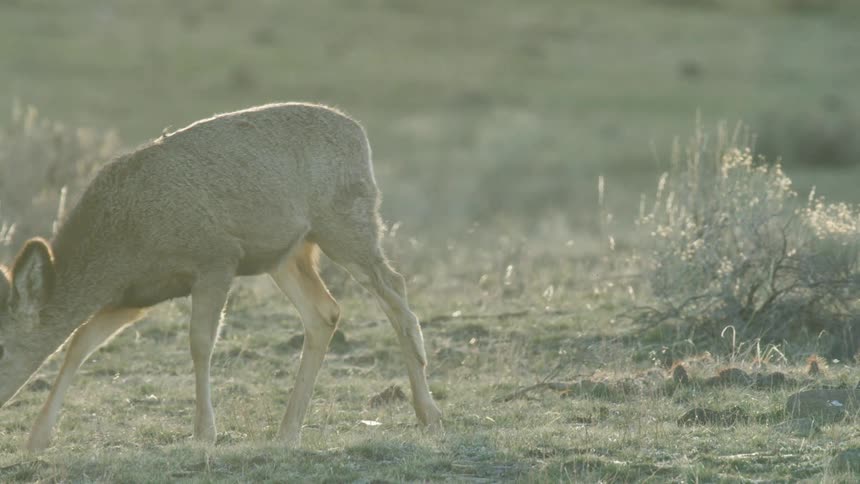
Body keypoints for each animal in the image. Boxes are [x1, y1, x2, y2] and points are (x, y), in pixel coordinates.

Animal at [0, 102, 442, 452]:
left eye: (2, 347)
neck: (123, 240)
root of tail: (359, 135)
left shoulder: (216, 257)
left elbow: (200, 343)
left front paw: (204, 433)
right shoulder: (134, 296)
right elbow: (80, 344)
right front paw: (37, 438)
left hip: (345, 224)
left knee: (394, 290)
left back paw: (429, 414)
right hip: (287, 254)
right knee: (324, 312)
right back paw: (288, 431)